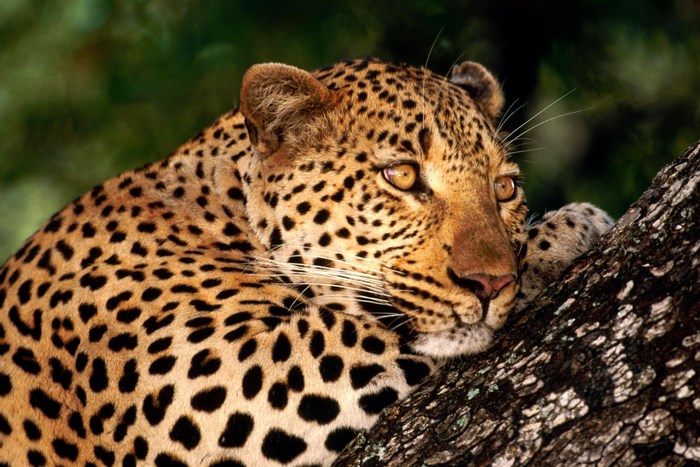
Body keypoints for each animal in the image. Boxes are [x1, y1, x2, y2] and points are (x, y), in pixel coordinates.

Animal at [0, 57, 613, 466]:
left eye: (505, 187)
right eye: (401, 175)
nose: (491, 282)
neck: (219, 205)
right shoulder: (227, 380)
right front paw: (570, 228)